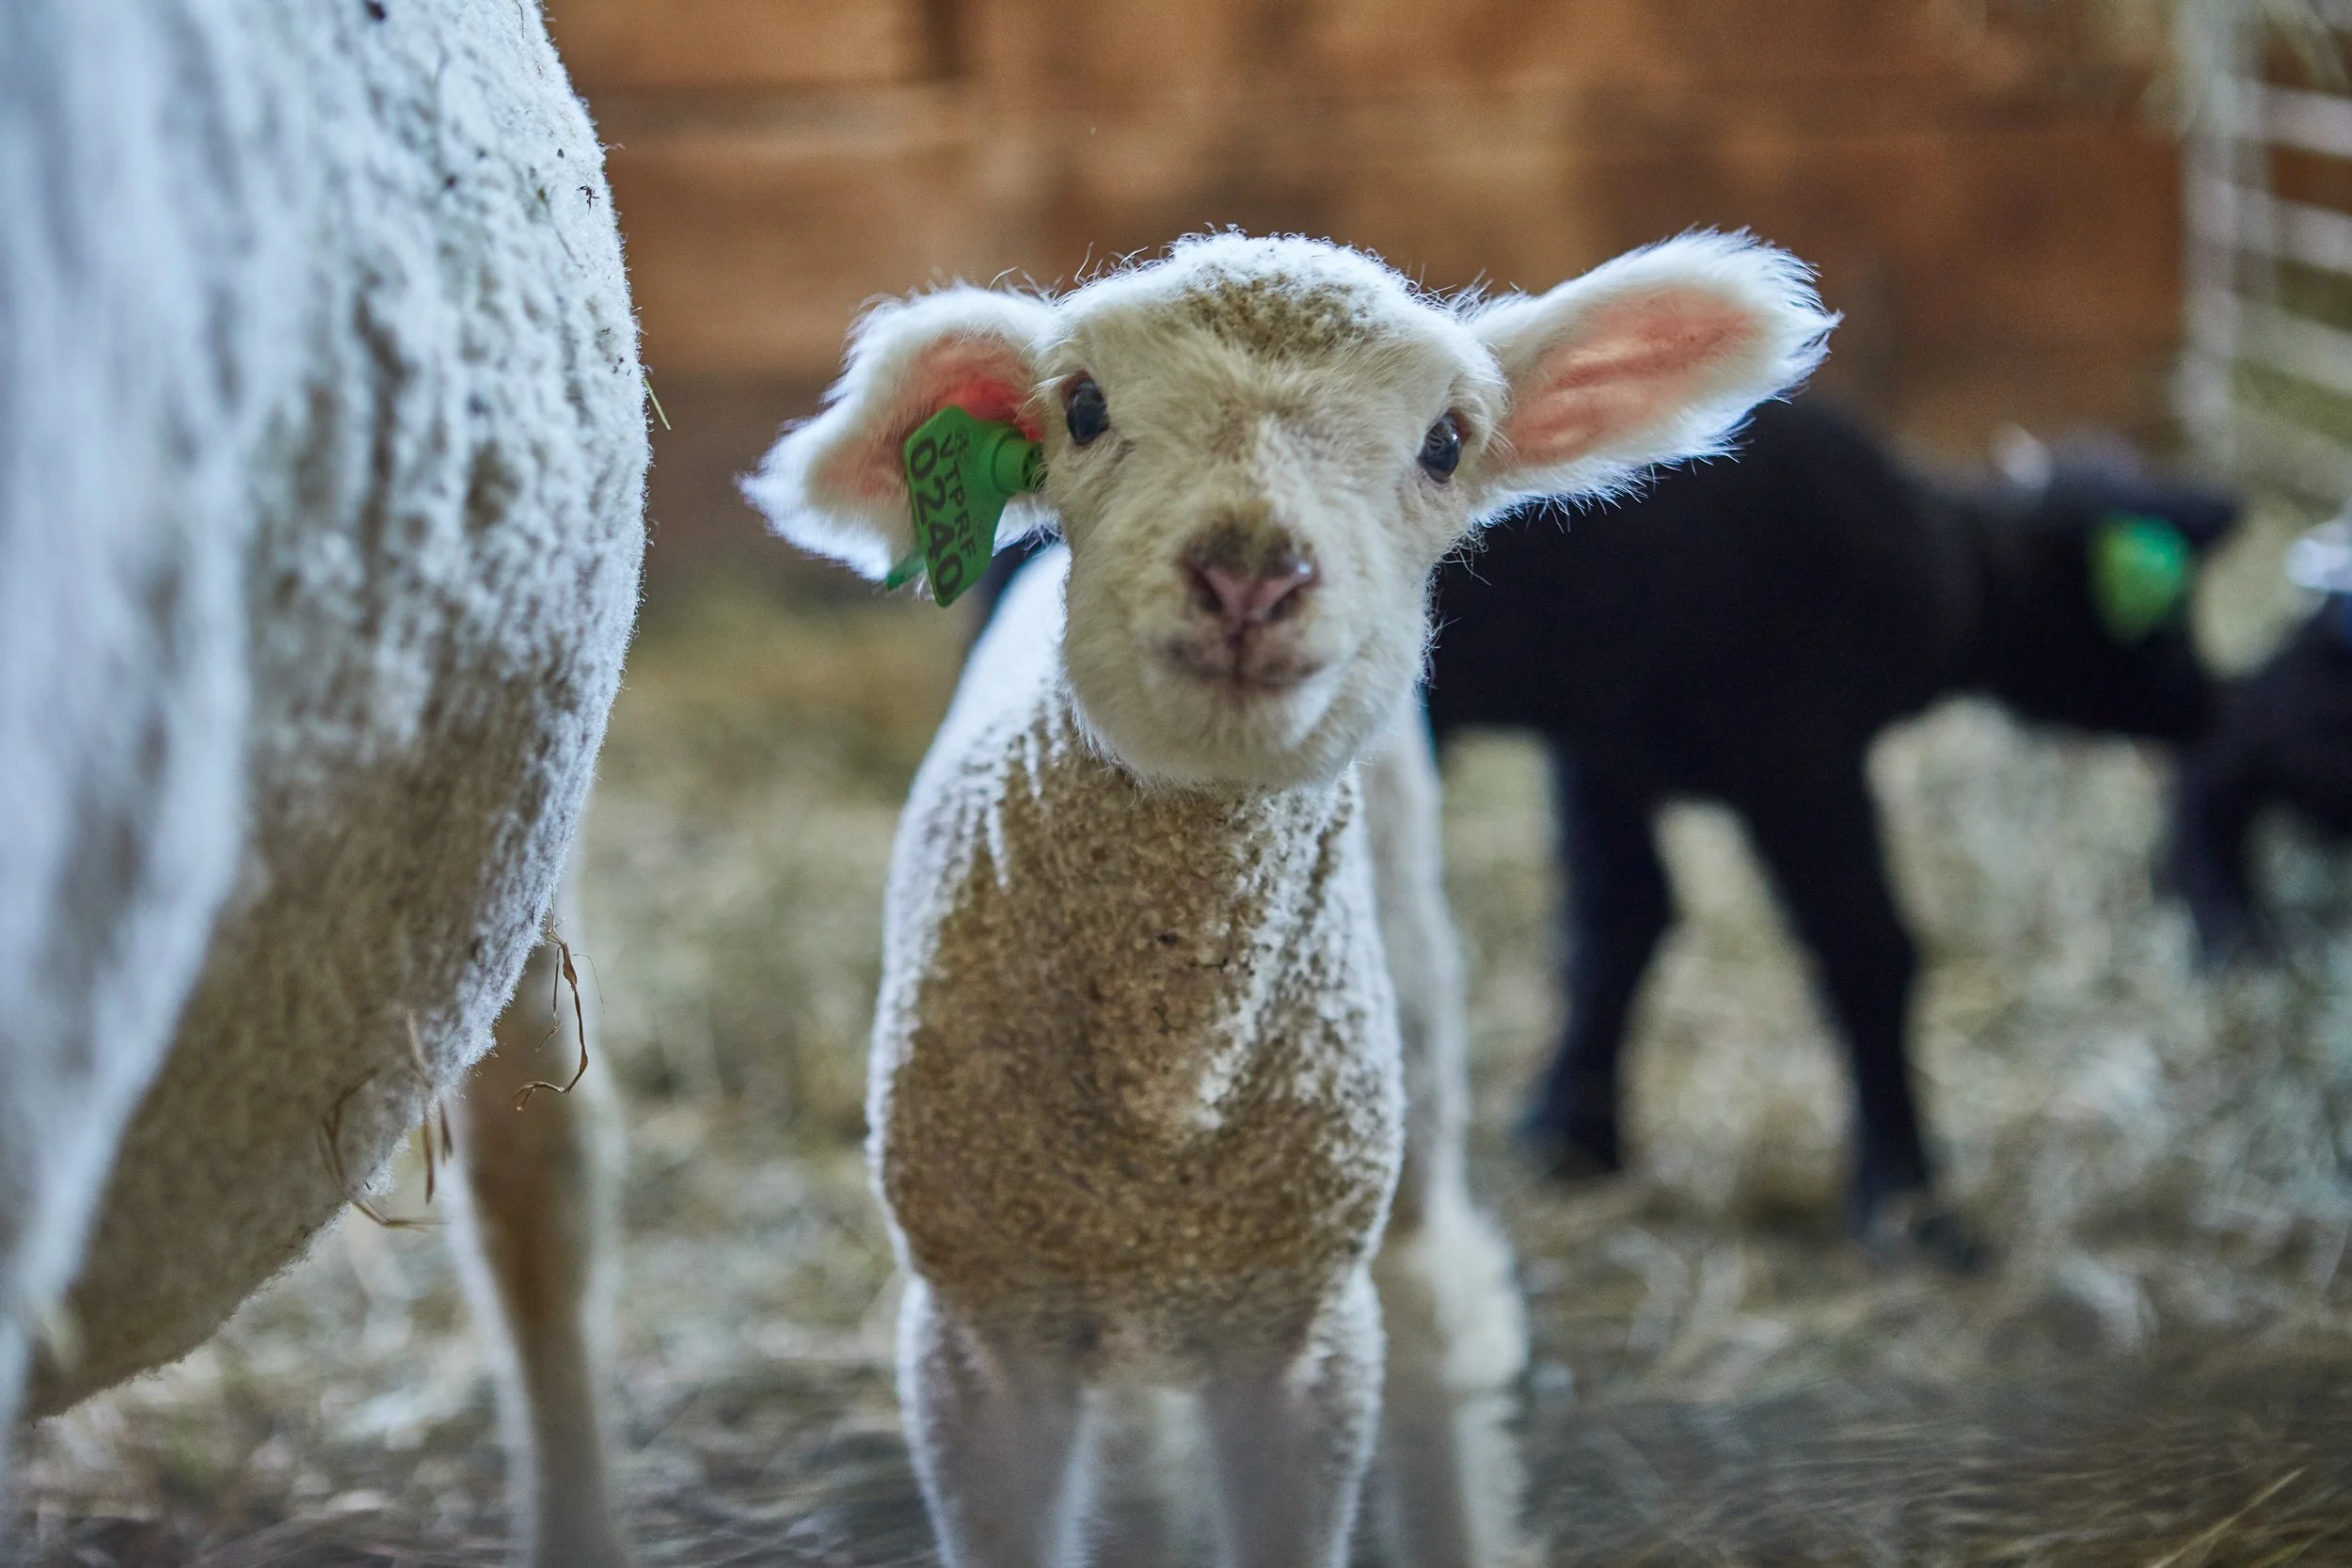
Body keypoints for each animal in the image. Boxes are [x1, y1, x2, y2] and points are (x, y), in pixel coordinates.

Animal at [745, 229, 1831, 1566]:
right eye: (1083, 406)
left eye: (1446, 441)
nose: (1249, 575)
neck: (1165, 1096)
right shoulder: (977, 1326)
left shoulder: (1297, 1335)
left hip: (1405, 1042)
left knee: (1430, 1310)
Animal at [1418, 397, 2236, 1261]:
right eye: (2164, 614)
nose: (2212, 700)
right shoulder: (1801, 743)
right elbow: (1869, 947)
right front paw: (1908, 1198)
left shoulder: (1605, 740)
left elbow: (1616, 922)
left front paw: (1572, 1138)